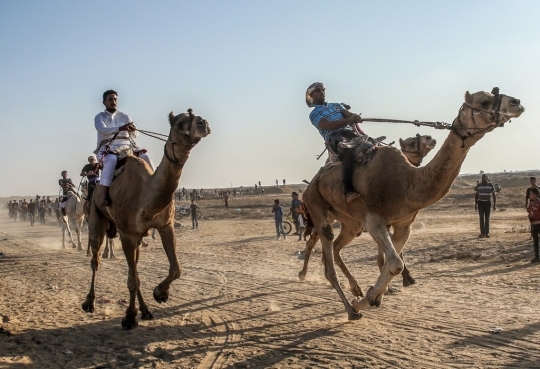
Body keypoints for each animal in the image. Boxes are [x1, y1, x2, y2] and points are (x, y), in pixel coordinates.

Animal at [83, 108, 211, 328]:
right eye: (179, 123)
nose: (203, 123)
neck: (146, 198)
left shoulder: (166, 225)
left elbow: (175, 268)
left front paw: (160, 294)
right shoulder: (127, 234)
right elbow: (132, 279)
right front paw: (129, 318)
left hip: (139, 236)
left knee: (134, 267)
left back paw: (145, 310)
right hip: (96, 216)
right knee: (96, 259)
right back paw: (89, 303)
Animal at [300, 90, 524, 320]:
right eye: (483, 101)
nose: (516, 103)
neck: (407, 182)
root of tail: (314, 181)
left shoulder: (403, 226)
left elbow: (391, 263)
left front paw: (373, 296)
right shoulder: (374, 220)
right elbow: (395, 263)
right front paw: (365, 300)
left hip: (351, 223)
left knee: (336, 247)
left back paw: (355, 289)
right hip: (316, 204)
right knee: (326, 253)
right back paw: (347, 308)